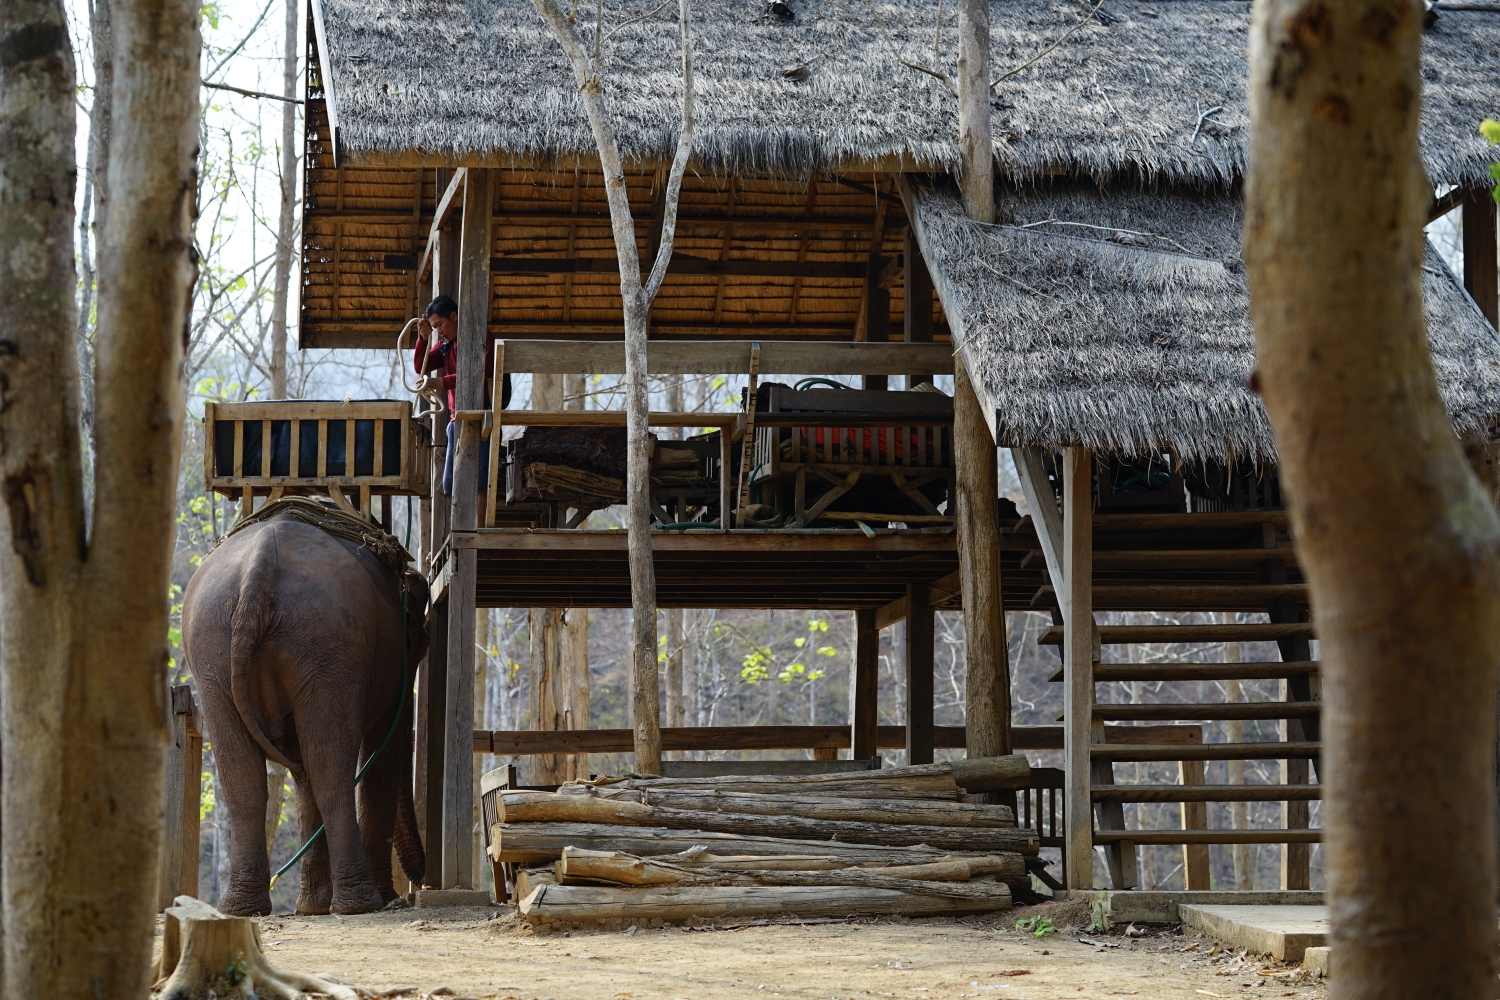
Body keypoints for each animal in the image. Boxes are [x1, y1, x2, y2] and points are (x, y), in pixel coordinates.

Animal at [186, 512, 429, 917]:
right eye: (423, 645)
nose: (421, 881)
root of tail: (258, 567)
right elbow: (383, 752)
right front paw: (382, 899)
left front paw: (312, 907)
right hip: (330, 645)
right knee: (329, 767)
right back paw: (362, 905)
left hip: (216, 650)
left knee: (248, 779)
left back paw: (244, 908)